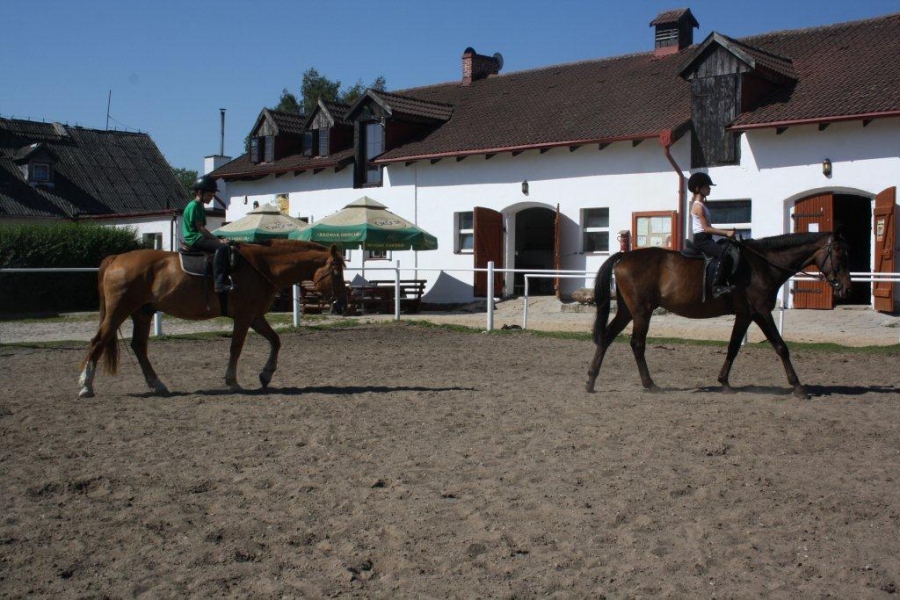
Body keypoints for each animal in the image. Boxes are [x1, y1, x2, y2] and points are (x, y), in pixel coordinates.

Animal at [79, 239, 346, 398]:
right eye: (336, 272)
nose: (342, 303)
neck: (262, 266)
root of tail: (117, 258)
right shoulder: (244, 316)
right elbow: (236, 347)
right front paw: (233, 381)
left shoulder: (255, 316)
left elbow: (275, 341)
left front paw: (266, 374)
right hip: (119, 311)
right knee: (98, 342)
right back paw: (85, 385)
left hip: (142, 313)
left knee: (139, 347)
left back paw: (157, 384)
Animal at [588, 233, 856, 398]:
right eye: (839, 255)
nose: (846, 288)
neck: (763, 265)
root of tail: (624, 256)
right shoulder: (761, 312)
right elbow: (781, 346)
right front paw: (798, 387)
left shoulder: (745, 315)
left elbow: (733, 347)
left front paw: (724, 382)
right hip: (642, 312)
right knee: (637, 344)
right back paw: (649, 384)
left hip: (627, 311)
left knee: (607, 338)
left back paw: (591, 381)